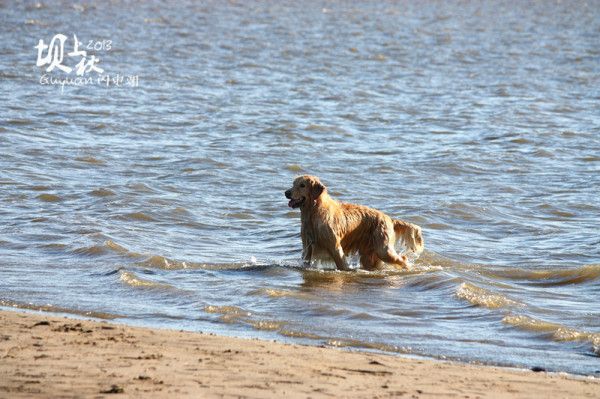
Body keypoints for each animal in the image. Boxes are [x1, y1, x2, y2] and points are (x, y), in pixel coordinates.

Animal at [284, 176, 422, 272]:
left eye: (302, 185)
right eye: (293, 184)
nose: (286, 192)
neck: (313, 213)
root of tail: (389, 218)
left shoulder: (335, 246)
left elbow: (342, 265)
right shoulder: (308, 246)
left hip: (383, 249)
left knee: (403, 259)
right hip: (369, 255)